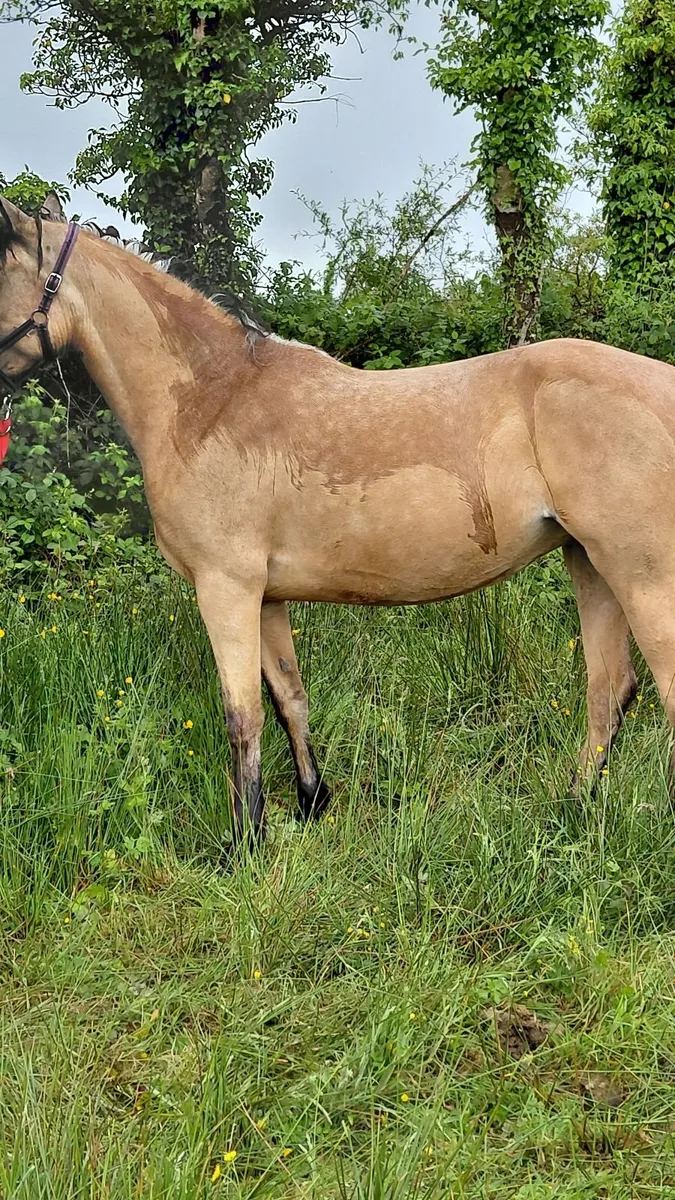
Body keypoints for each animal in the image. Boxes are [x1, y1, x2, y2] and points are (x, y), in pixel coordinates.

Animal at [1, 192, 673, 843]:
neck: (213, 400)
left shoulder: (226, 588)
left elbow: (242, 715)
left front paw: (246, 844)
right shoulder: (265, 597)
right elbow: (288, 700)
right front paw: (310, 803)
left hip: (641, 580)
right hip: (591, 565)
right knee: (610, 691)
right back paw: (573, 812)